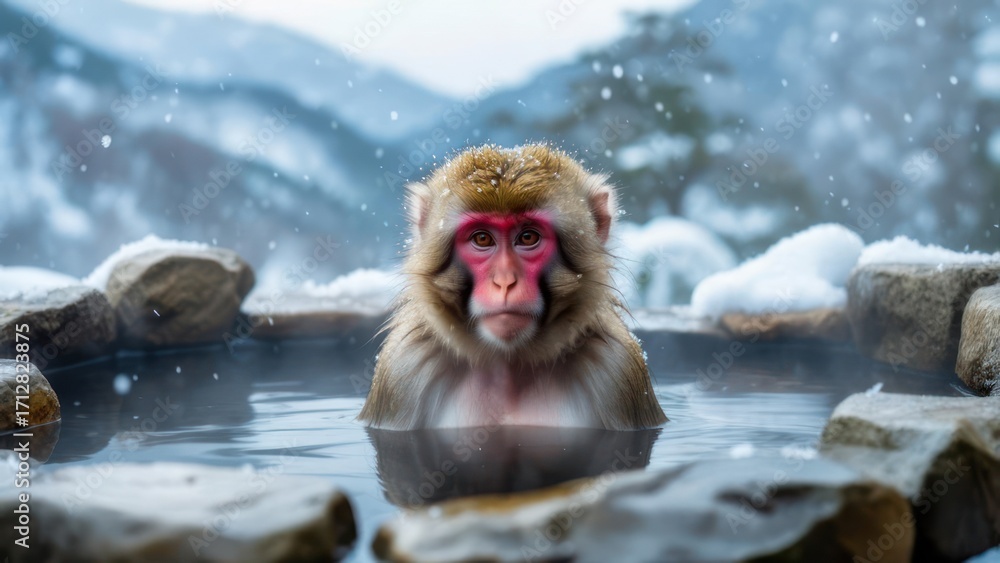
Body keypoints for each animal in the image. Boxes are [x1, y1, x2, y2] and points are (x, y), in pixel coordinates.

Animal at [358, 144, 666, 430]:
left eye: (528, 237)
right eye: (482, 239)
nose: (505, 281)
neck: (508, 366)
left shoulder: (619, 368)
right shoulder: (402, 367)